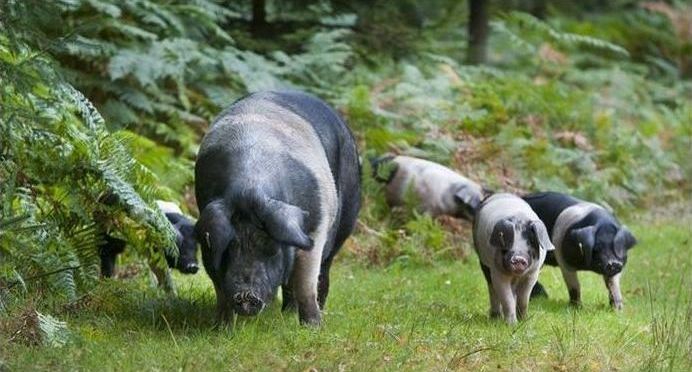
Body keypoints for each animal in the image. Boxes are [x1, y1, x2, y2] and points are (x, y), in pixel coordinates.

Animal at [192, 91, 360, 326]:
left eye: (271, 246)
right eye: (229, 247)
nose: (246, 296)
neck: (250, 186)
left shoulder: (315, 228)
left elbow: (306, 281)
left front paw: (313, 326)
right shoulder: (209, 235)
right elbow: (220, 288)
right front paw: (222, 327)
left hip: (347, 216)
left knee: (323, 270)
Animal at [474, 193, 556, 324]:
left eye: (530, 242)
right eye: (507, 244)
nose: (518, 258)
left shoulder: (532, 274)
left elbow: (524, 299)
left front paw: (524, 321)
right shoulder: (497, 272)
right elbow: (506, 298)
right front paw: (511, 324)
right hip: (483, 263)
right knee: (492, 289)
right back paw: (495, 317)